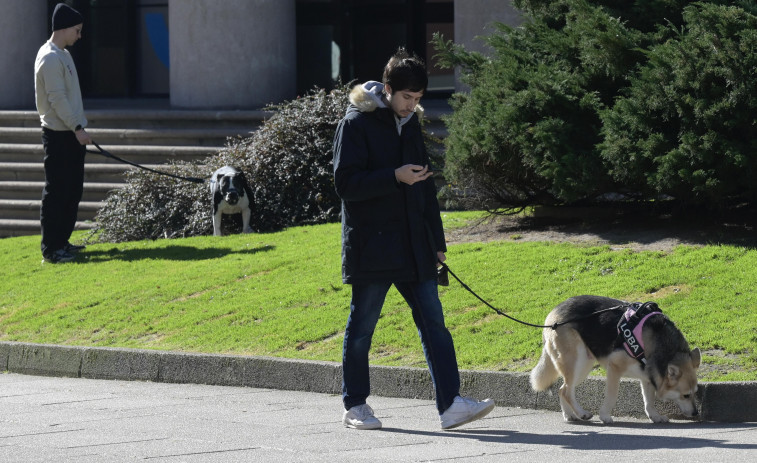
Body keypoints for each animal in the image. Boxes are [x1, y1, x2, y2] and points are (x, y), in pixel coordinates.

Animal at [528, 298, 700, 424]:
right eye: (685, 395)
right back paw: (582, 413)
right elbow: (612, 396)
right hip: (577, 362)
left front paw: (655, 416)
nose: (696, 413)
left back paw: (569, 415)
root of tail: (553, 313)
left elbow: (649, 401)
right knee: (565, 391)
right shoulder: (614, 369)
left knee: (562, 389)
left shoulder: (648, 376)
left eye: (695, 392)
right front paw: (605, 416)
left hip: (583, 366)